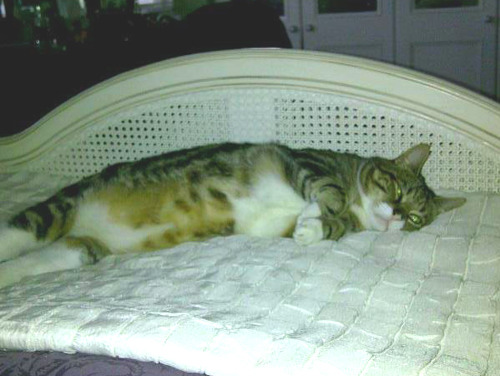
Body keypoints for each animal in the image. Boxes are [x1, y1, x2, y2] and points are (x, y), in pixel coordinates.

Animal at [0, 142, 464, 288]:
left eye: (418, 218)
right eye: (397, 189)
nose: (398, 217)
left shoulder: (271, 225)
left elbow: (326, 227)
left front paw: (312, 228)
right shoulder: (306, 162)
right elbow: (326, 192)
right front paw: (319, 211)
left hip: (78, 249)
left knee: (31, 261)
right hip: (55, 210)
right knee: (18, 232)